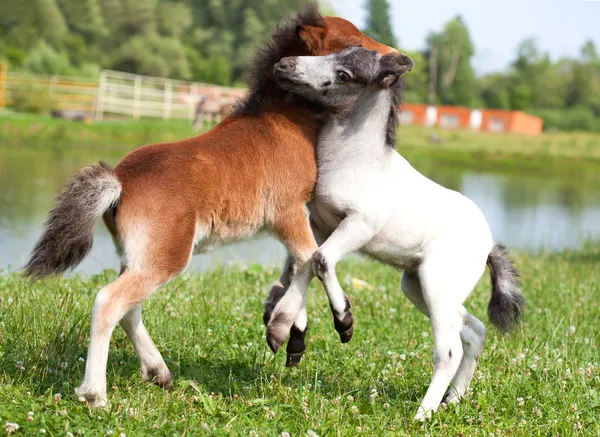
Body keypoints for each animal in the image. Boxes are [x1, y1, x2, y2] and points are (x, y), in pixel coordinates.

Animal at [24, 6, 398, 408]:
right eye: (351, 44)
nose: (395, 57)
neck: (283, 122)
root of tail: (119, 179)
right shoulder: (288, 212)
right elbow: (310, 260)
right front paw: (323, 324)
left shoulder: (289, 219)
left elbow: (299, 263)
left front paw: (292, 334)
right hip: (166, 256)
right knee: (109, 301)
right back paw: (95, 393)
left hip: (141, 255)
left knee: (129, 307)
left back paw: (159, 372)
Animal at [274, 47, 524, 418]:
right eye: (334, 51)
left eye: (345, 74)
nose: (284, 65)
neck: (355, 162)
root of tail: (488, 247)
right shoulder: (320, 223)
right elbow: (302, 264)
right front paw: (283, 331)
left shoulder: (360, 224)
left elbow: (320, 261)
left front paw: (344, 321)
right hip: (420, 287)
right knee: (474, 331)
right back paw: (454, 399)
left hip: (436, 285)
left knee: (449, 350)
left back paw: (423, 414)